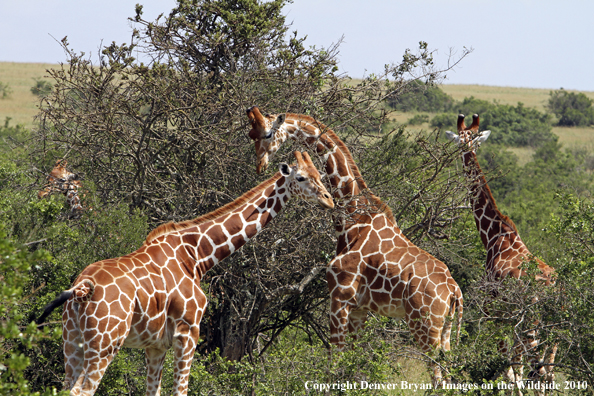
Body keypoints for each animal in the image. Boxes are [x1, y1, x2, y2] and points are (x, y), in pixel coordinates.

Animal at [37, 152, 332, 396]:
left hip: (72, 341)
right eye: (301, 177)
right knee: (82, 390)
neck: (197, 255)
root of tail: (81, 288)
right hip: (105, 343)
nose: (328, 200)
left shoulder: (155, 345)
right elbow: (181, 391)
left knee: (66, 386)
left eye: (320, 174)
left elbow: (153, 392)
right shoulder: (188, 331)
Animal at [245, 106, 462, 386]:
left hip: (425, 326)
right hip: (445, 331)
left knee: (438, 377)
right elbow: (353, 365)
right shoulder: (360, 308)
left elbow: (334, 361)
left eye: (268, 133)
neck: (352, 216)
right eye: (252, 134)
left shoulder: (339, 295)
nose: (260, 165)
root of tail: (455, 291)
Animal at [444, 113, 556, 388]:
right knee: (548, 373)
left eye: (466, 139)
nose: (465, 151)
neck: (494, 234)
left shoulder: (491, 312)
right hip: (554, 332)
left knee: (538, 371)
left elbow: (509, 370)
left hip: (531, 326)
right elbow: (515, 368)